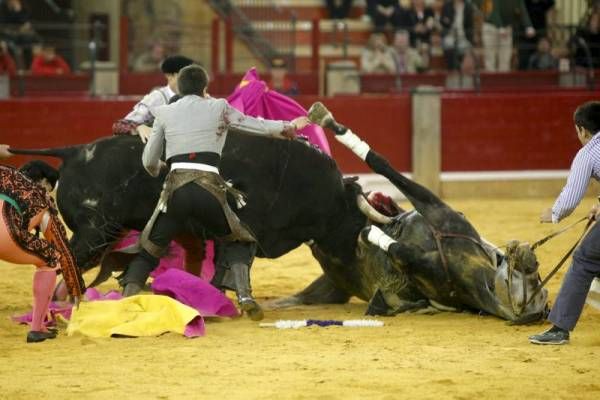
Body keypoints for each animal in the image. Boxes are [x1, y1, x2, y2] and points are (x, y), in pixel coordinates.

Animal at [12, 133, 548, 324]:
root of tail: (71, 151)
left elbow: (224, 265)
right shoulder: (255, 232)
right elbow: (235, 262)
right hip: (94, 233)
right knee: (66, 263)